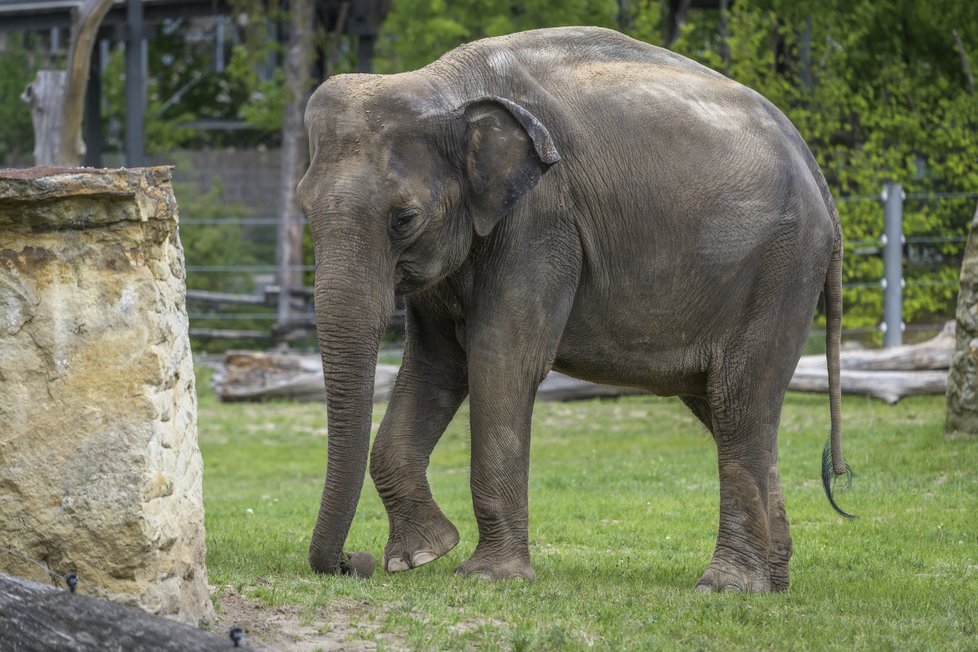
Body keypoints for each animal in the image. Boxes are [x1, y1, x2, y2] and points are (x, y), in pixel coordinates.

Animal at [296, 28, 848, 592]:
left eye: (404, 219)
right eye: (304, 207)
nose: (352, 561)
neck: (443, 85)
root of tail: (820, 181)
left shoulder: (541, 219)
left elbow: (500, 360)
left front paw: (488, 576)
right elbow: (435, 366)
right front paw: (420, 556)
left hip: (781, 270)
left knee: (739, 401)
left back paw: (724, 587)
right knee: (723, 406)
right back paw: (771, 582)